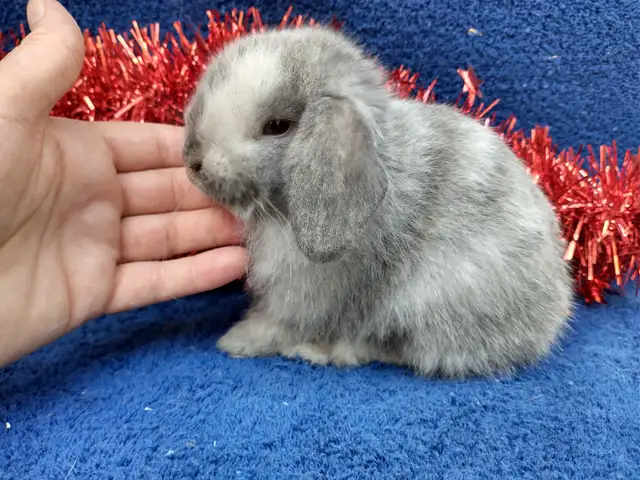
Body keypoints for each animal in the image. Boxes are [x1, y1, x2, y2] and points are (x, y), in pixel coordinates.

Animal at [182, 25, 575, 377]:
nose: (193, 162)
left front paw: (236, 341)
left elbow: (277, 324)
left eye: (277, 126)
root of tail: (550, 320)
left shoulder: (301, 295)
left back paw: (325, 350)